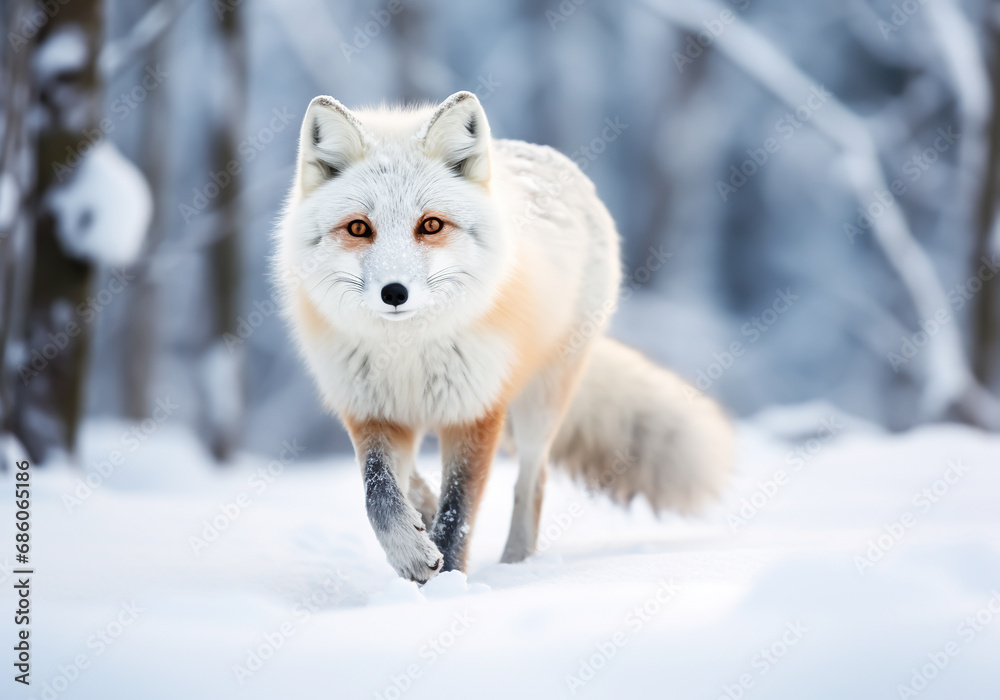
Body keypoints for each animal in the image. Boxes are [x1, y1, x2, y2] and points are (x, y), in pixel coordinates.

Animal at [274, 91, 733, 583]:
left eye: (430, 225)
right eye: (359, 228)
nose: (394, 293)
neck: (409, 350)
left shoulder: (476, 409)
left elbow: (458, 513)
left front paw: (448, 581)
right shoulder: (371, 410)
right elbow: (378, 493)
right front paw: (411, 550)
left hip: (539, 405)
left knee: (532, 482)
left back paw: (516, 566)